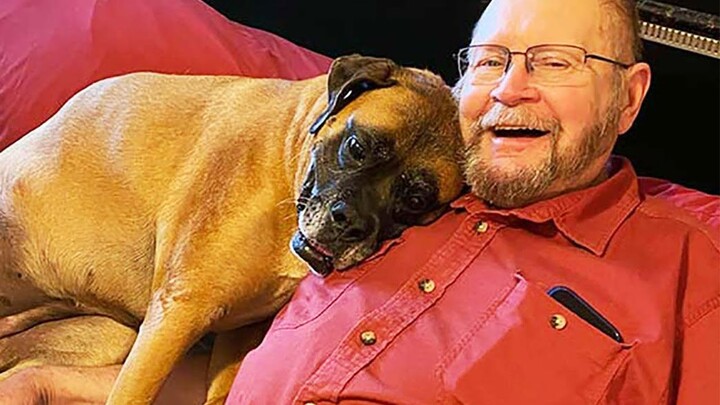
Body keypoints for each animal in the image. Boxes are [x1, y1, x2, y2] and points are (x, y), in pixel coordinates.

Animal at [0, 55, 464, 402]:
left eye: (416, 200)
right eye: (357, 147)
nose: (349, 223)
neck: (286, 159)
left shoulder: (235, 337)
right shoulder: (178, 313)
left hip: (105, 336)